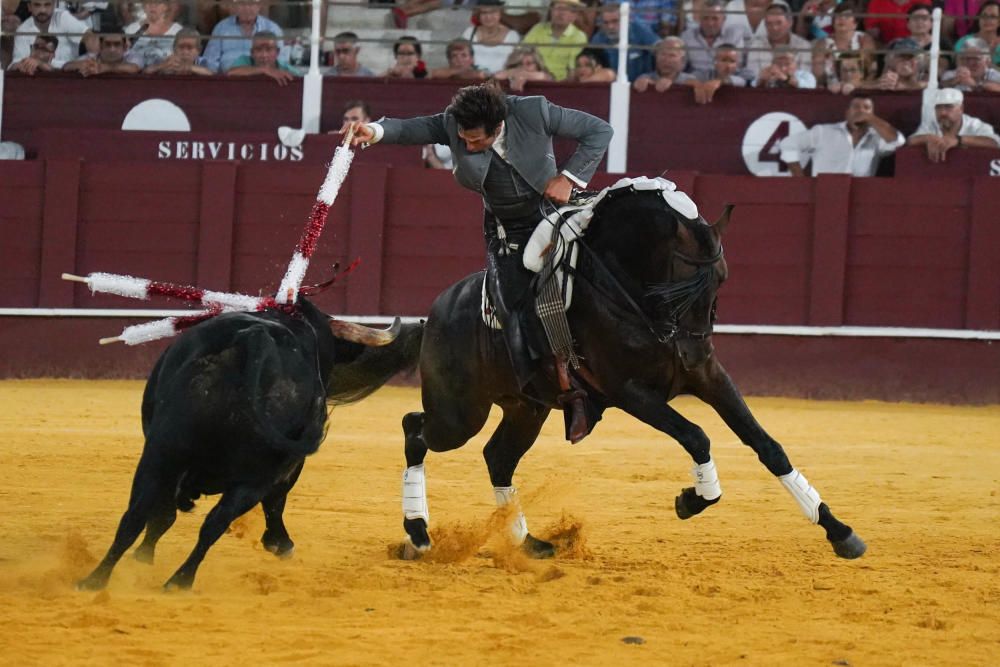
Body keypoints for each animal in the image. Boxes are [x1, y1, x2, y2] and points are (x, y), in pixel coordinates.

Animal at [78, 300, 420, 592]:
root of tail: (256, 339)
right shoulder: (285, 467)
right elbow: (275, 502)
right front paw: (280, 543)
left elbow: (161, 513)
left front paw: (144, 556)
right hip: (243, 473)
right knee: (207, 521)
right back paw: (177, 580)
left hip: (164, 453)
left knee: (140, 516)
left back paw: (99, 580)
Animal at [398, 185, 868, 560]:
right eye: (677, 283)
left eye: (721, 279)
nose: (691, 349)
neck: (624, 288)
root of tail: (437, 311)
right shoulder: (628, 390)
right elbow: (696, 435)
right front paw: (692, 499)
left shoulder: (709, 375)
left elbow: (766, 445)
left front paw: (839, 531)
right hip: (460, 414)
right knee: (415, 428)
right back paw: (418, 532)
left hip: (526, 408)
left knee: (497, 456)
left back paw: (528, 542)